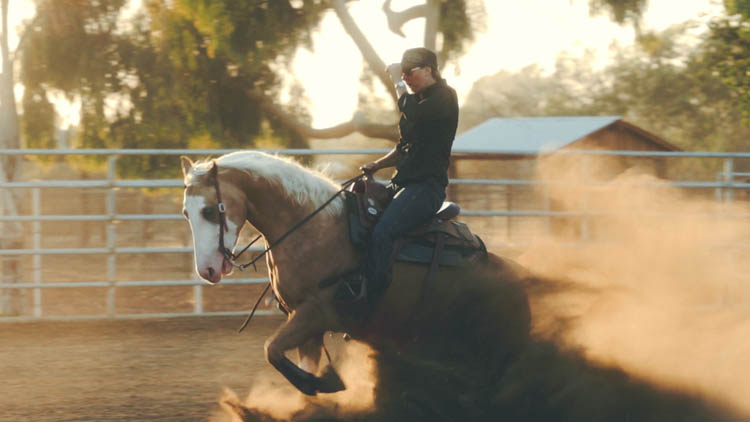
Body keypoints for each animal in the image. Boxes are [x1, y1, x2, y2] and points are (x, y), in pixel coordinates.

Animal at [181, 152, 536, 398]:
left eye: (209, 211)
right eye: (186, 212)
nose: (207, 269)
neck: (312, 227)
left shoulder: (316, 312)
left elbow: (272, 350)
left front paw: (326, 382)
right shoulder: (304, 323)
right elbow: (287, 358)